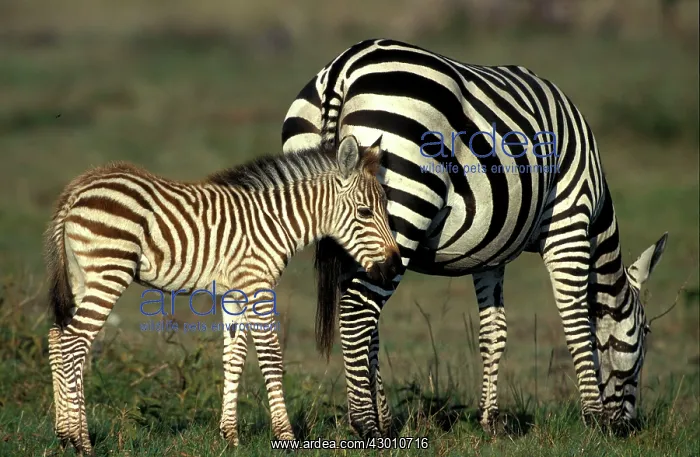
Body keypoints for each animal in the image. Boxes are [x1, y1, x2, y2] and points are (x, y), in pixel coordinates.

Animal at [44, 134, 401, 454]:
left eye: (386, 209)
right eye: (365, 212)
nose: (395, 266)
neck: (275, 223)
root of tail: (78, 188)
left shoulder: (235, 293)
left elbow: (234, 357)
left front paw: (230, 436)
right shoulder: (257, 285)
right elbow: (271, 356)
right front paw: (285, 437)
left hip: (81, 277)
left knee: (57, 337)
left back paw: (64, 436)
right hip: (109, 272)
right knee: (73, 342)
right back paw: (82, 442)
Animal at [281, 38, 668, 438]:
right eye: (645, 332)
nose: (628, 427)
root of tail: (344, 67)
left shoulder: (491, 251)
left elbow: (494, 333)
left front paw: (490, 419)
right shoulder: (569, 220)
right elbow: (577, 321)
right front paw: (593, 419)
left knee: (361, 317)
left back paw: (384, 421)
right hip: (401, 206)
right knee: (358, 311)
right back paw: (367, 424)